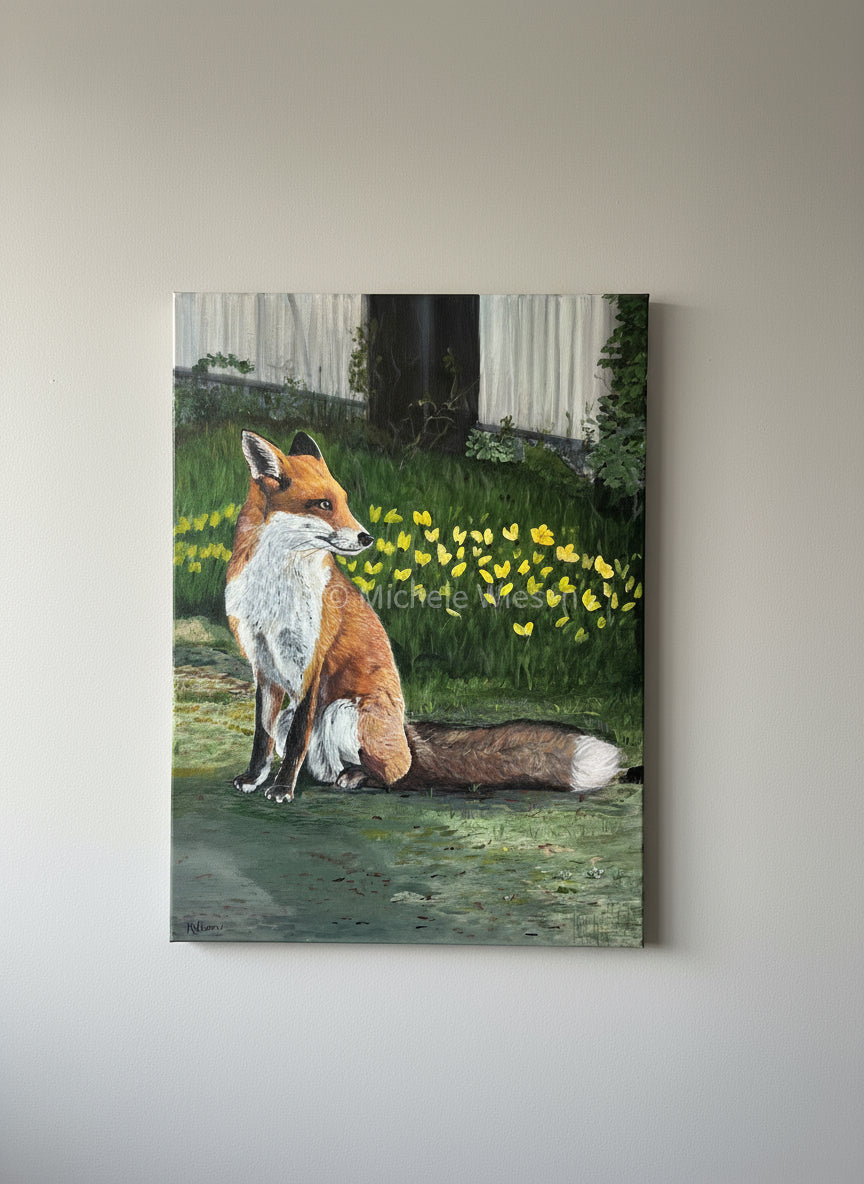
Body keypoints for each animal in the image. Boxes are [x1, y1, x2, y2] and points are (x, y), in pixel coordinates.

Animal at [225, 429, 623, 803]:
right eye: (323, 504)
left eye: (344, 501)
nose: (367, 538)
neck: (274, 587)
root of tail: (407, 734)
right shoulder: (264, 667)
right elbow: (263, 738)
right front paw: (255, 779)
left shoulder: (311, 664)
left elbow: (295, 743)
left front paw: (282, 789)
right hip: (309, 714)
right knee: (327, 764)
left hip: (343, 711)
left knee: (393, 774)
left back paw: (356, 777)